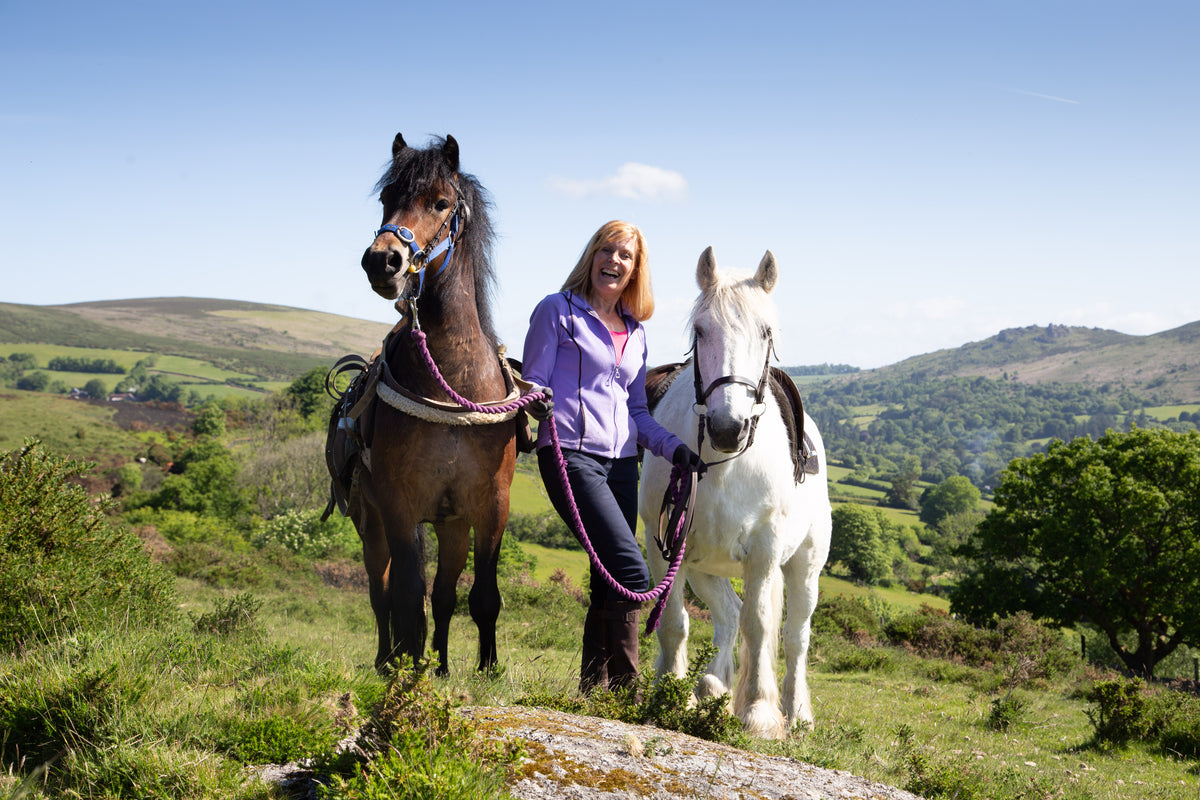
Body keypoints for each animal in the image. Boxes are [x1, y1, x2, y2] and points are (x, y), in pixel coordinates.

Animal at [350, 133, 518, 675]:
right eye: (387, 198)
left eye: (441, 203)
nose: (382, 261)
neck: (451, 385)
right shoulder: (399, 507)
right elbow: (406, 597)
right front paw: (407, 668)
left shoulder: (490, 507)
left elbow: (481, 597)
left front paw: (484, 670)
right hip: (371, 524)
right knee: (380, 593)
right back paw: (389, 658)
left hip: (451, 526)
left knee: (443, 595)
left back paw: (440, 665)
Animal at [638, 246, 832, 739]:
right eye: (701, 330)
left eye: (766, 332)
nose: (729, 428)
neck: (722, 464)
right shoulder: (665, 545)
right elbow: (675, 622)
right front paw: (670, 693)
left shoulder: (764, 551)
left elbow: (760, 625)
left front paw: (760, 712)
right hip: (705, 566)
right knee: (727, 616)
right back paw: (713, 688)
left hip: (804, 566)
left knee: (794, 635)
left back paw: (796, 713)